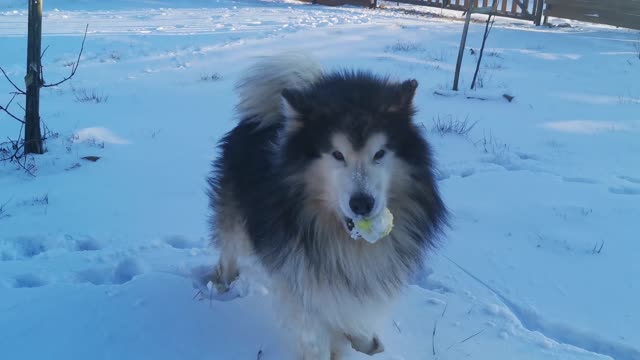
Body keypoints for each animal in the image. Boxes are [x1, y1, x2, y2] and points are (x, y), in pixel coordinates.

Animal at [208, 53, 448, 360]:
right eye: (337, 154)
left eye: (379, 153)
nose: (362, 203)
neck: (349, 241)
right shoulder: (302, 278)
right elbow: (314, 331)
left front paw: (365, 345)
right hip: (235, 214)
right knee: (229, 246)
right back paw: (224, 283)